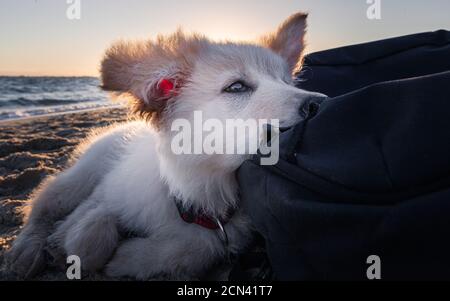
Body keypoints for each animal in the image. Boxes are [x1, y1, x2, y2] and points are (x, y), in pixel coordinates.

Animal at [7, 12, 324, 278]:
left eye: (287, 82)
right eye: (236, 87)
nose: (319, 103)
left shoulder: (226, 232)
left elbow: (194, 248)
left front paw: (126, 258)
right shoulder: (109, 189)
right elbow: (93, 225)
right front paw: (66, 241)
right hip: (79, 178)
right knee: (43, 202)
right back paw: (26, 250)